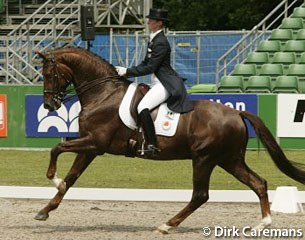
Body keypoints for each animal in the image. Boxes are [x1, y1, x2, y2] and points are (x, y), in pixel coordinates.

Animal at [35, 46, 304, 232]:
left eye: (49, 73)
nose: (49, 105)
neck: (103, 94)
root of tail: (236, 112)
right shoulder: (90, 146)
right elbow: (71, 177)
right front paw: (45, 210)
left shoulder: (95, 143)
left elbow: (57, 148)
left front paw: (53, 179)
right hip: (229, 159)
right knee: (258, 183)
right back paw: (263, 224)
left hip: (204, 158)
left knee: (200, 195)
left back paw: (167, 225)